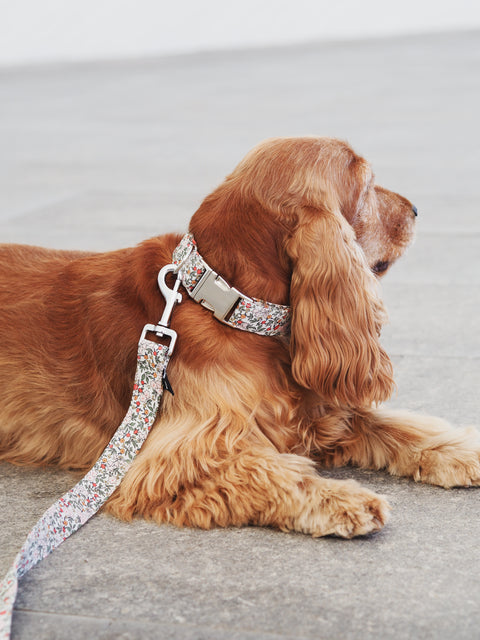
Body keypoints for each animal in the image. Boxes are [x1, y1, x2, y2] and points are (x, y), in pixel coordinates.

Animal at [0, 138, 480, 536]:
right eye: (367, 188)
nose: (416, 209)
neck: (229, 302)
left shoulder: (318, 411)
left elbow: (398, 424)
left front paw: (463, 451)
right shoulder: (175, 456)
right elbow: (271, 472)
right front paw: (341, 498)